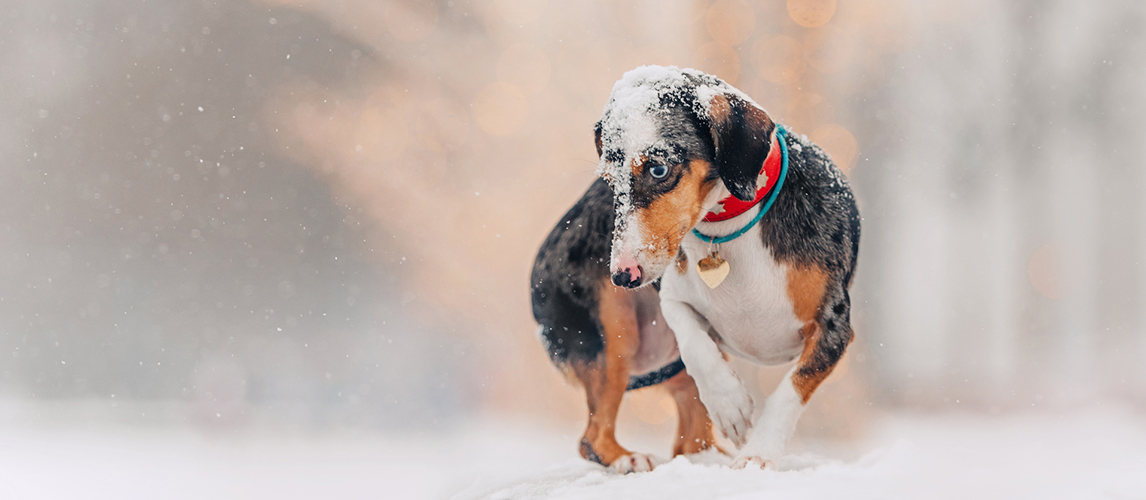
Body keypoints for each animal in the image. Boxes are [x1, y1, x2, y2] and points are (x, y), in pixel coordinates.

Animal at [531, 65, 857, 467]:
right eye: (608, 181)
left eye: (658, 169)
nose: (623, 275)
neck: (729, 227)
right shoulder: (673, 302)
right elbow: (696, 343)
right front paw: (730, 405)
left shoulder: (834, 328)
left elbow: (790, 390)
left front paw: (759, 453)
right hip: (614, 337)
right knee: (592, 438)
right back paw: (628, 459)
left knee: (687, 441)